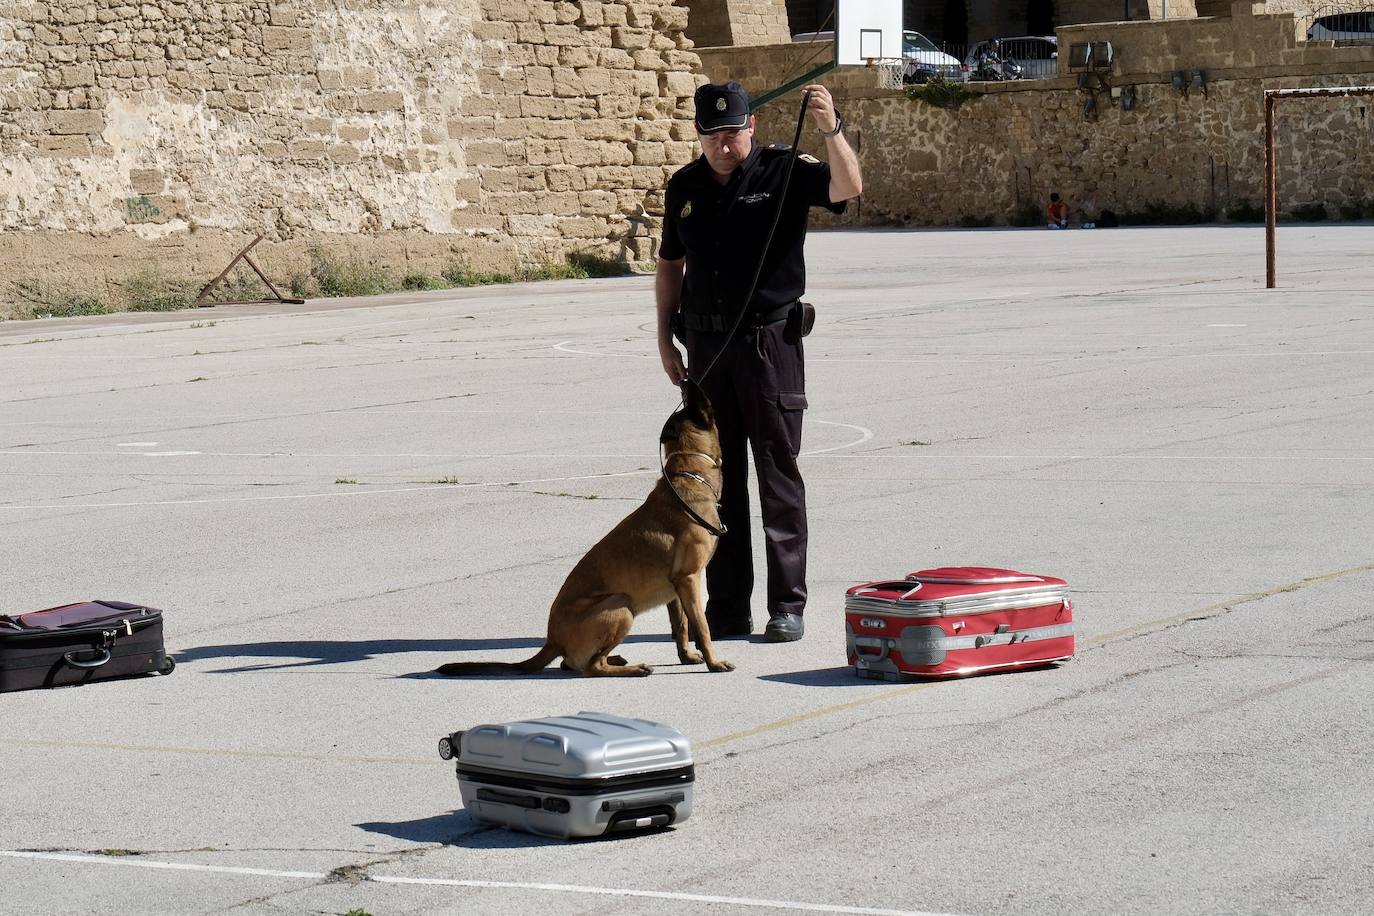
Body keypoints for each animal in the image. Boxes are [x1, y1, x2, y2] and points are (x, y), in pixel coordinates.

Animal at [439, 384, 741, 678]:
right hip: (621, 604)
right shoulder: (689, 580)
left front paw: (687, 656)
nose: (691, 381)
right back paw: (633, 669)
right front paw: (714, 662)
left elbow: (681, 626)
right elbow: (701, 626)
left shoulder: (675, 589)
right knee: (590, 667)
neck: (691, 472)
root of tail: (552, 640)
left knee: (573, 663)